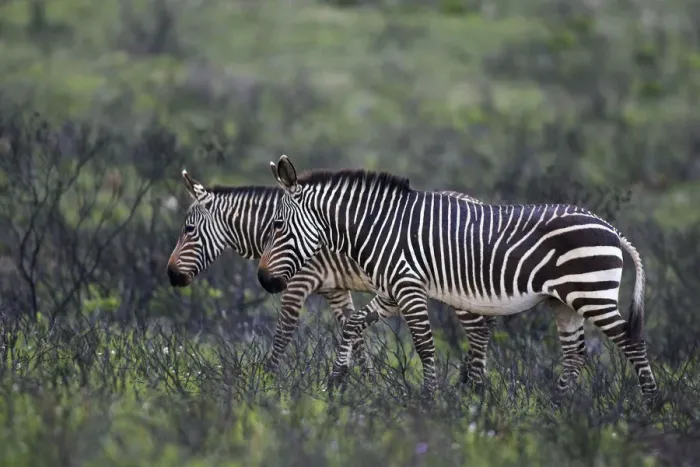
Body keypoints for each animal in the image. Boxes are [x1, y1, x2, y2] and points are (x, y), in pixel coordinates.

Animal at [166, 169, 498, 386]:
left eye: (188, 230)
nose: (170, 275)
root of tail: (480, 203)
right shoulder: (335, 290)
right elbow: (356, 335)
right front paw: (366, 383)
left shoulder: (299, 282)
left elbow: (283, 333)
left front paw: (267, 383)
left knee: (478, 333)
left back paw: (472, 387)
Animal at [256, 155, 659, 408]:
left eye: (277, 225)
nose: (263, 280)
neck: (378, 228)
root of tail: (611, 228)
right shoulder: (390, 292)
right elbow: (353, 325)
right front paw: (337, 380)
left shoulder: (408, 287)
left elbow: (424, 346)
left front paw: (429, 399)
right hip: (564, 301)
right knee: (575, 354)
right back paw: (558, 406)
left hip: (591, 294)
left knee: (632, 343)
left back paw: (652, 406)